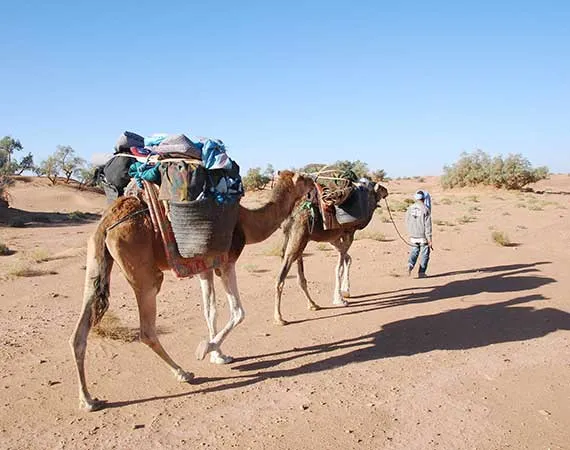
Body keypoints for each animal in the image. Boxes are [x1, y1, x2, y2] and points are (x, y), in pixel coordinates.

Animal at [70, 171, 316, 410]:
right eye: (303, 178)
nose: (314, 182)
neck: (247, 222)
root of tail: (107, 223)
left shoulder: (204, 268)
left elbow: (210, 311)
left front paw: (219, 355)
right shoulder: (226, 262)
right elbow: (238, 312)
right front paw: (206, 348)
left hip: (96, 262)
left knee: (79, 333)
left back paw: (88, 400)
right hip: (144, 274)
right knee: (147, 330)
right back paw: (183, 372)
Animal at [272, 181, 388, 326]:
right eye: (378, 187)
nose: (386, 190)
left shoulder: (334, 238)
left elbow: (347, 259)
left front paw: (345, 291)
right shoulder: (348, 232)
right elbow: (339, 266)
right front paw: (340, 299)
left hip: (297, 239)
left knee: (300, 277)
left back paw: (313, 304)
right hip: (298, 238)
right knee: (281, 277)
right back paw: (279, 317)